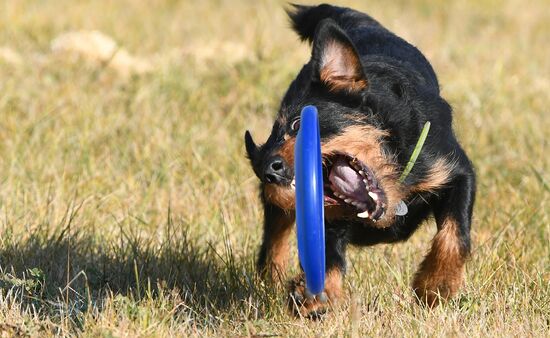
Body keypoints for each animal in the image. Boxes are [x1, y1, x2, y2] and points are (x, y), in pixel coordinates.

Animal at [244, 3, 476, 316]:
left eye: (296, 125)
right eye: (273, 138)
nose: (266, 169)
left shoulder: (455, 170)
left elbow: (455, 234)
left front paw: (436, 285)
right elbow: (327, 254)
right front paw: (311, 295)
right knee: (274, 237)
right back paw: (272, 277)